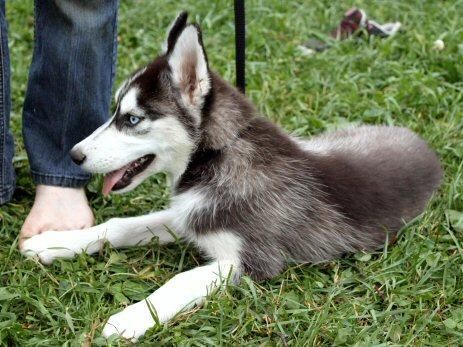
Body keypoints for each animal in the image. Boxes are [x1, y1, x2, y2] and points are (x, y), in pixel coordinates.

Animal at [20, 12, 442, 342]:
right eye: (117, 113)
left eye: (133, 119)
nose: (74, 155)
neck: (217, 157)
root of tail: (427, 148)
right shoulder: (188, 214)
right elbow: (121, 224)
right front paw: (56, 243)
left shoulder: (250, 261)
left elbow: (180, 280)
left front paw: (131, 317)